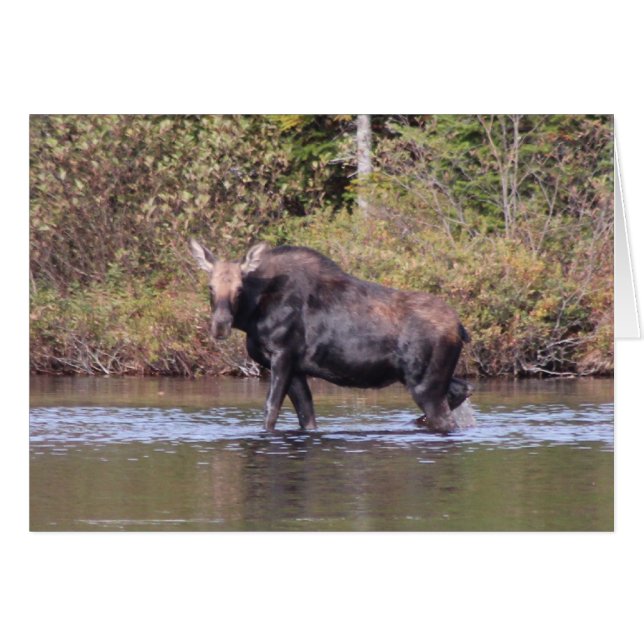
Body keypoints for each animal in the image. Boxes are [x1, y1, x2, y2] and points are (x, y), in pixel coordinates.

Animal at [190, 239, 473, 432]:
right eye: (210, 287)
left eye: (239, 288)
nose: (220, 325)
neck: (252, 315)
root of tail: (460, 328)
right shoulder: (296, 368)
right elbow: (307, 417)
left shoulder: (282, 355)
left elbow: (270, 411)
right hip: (431, 377)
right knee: (463, 389)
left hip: (424, 384)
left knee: (446, 419)